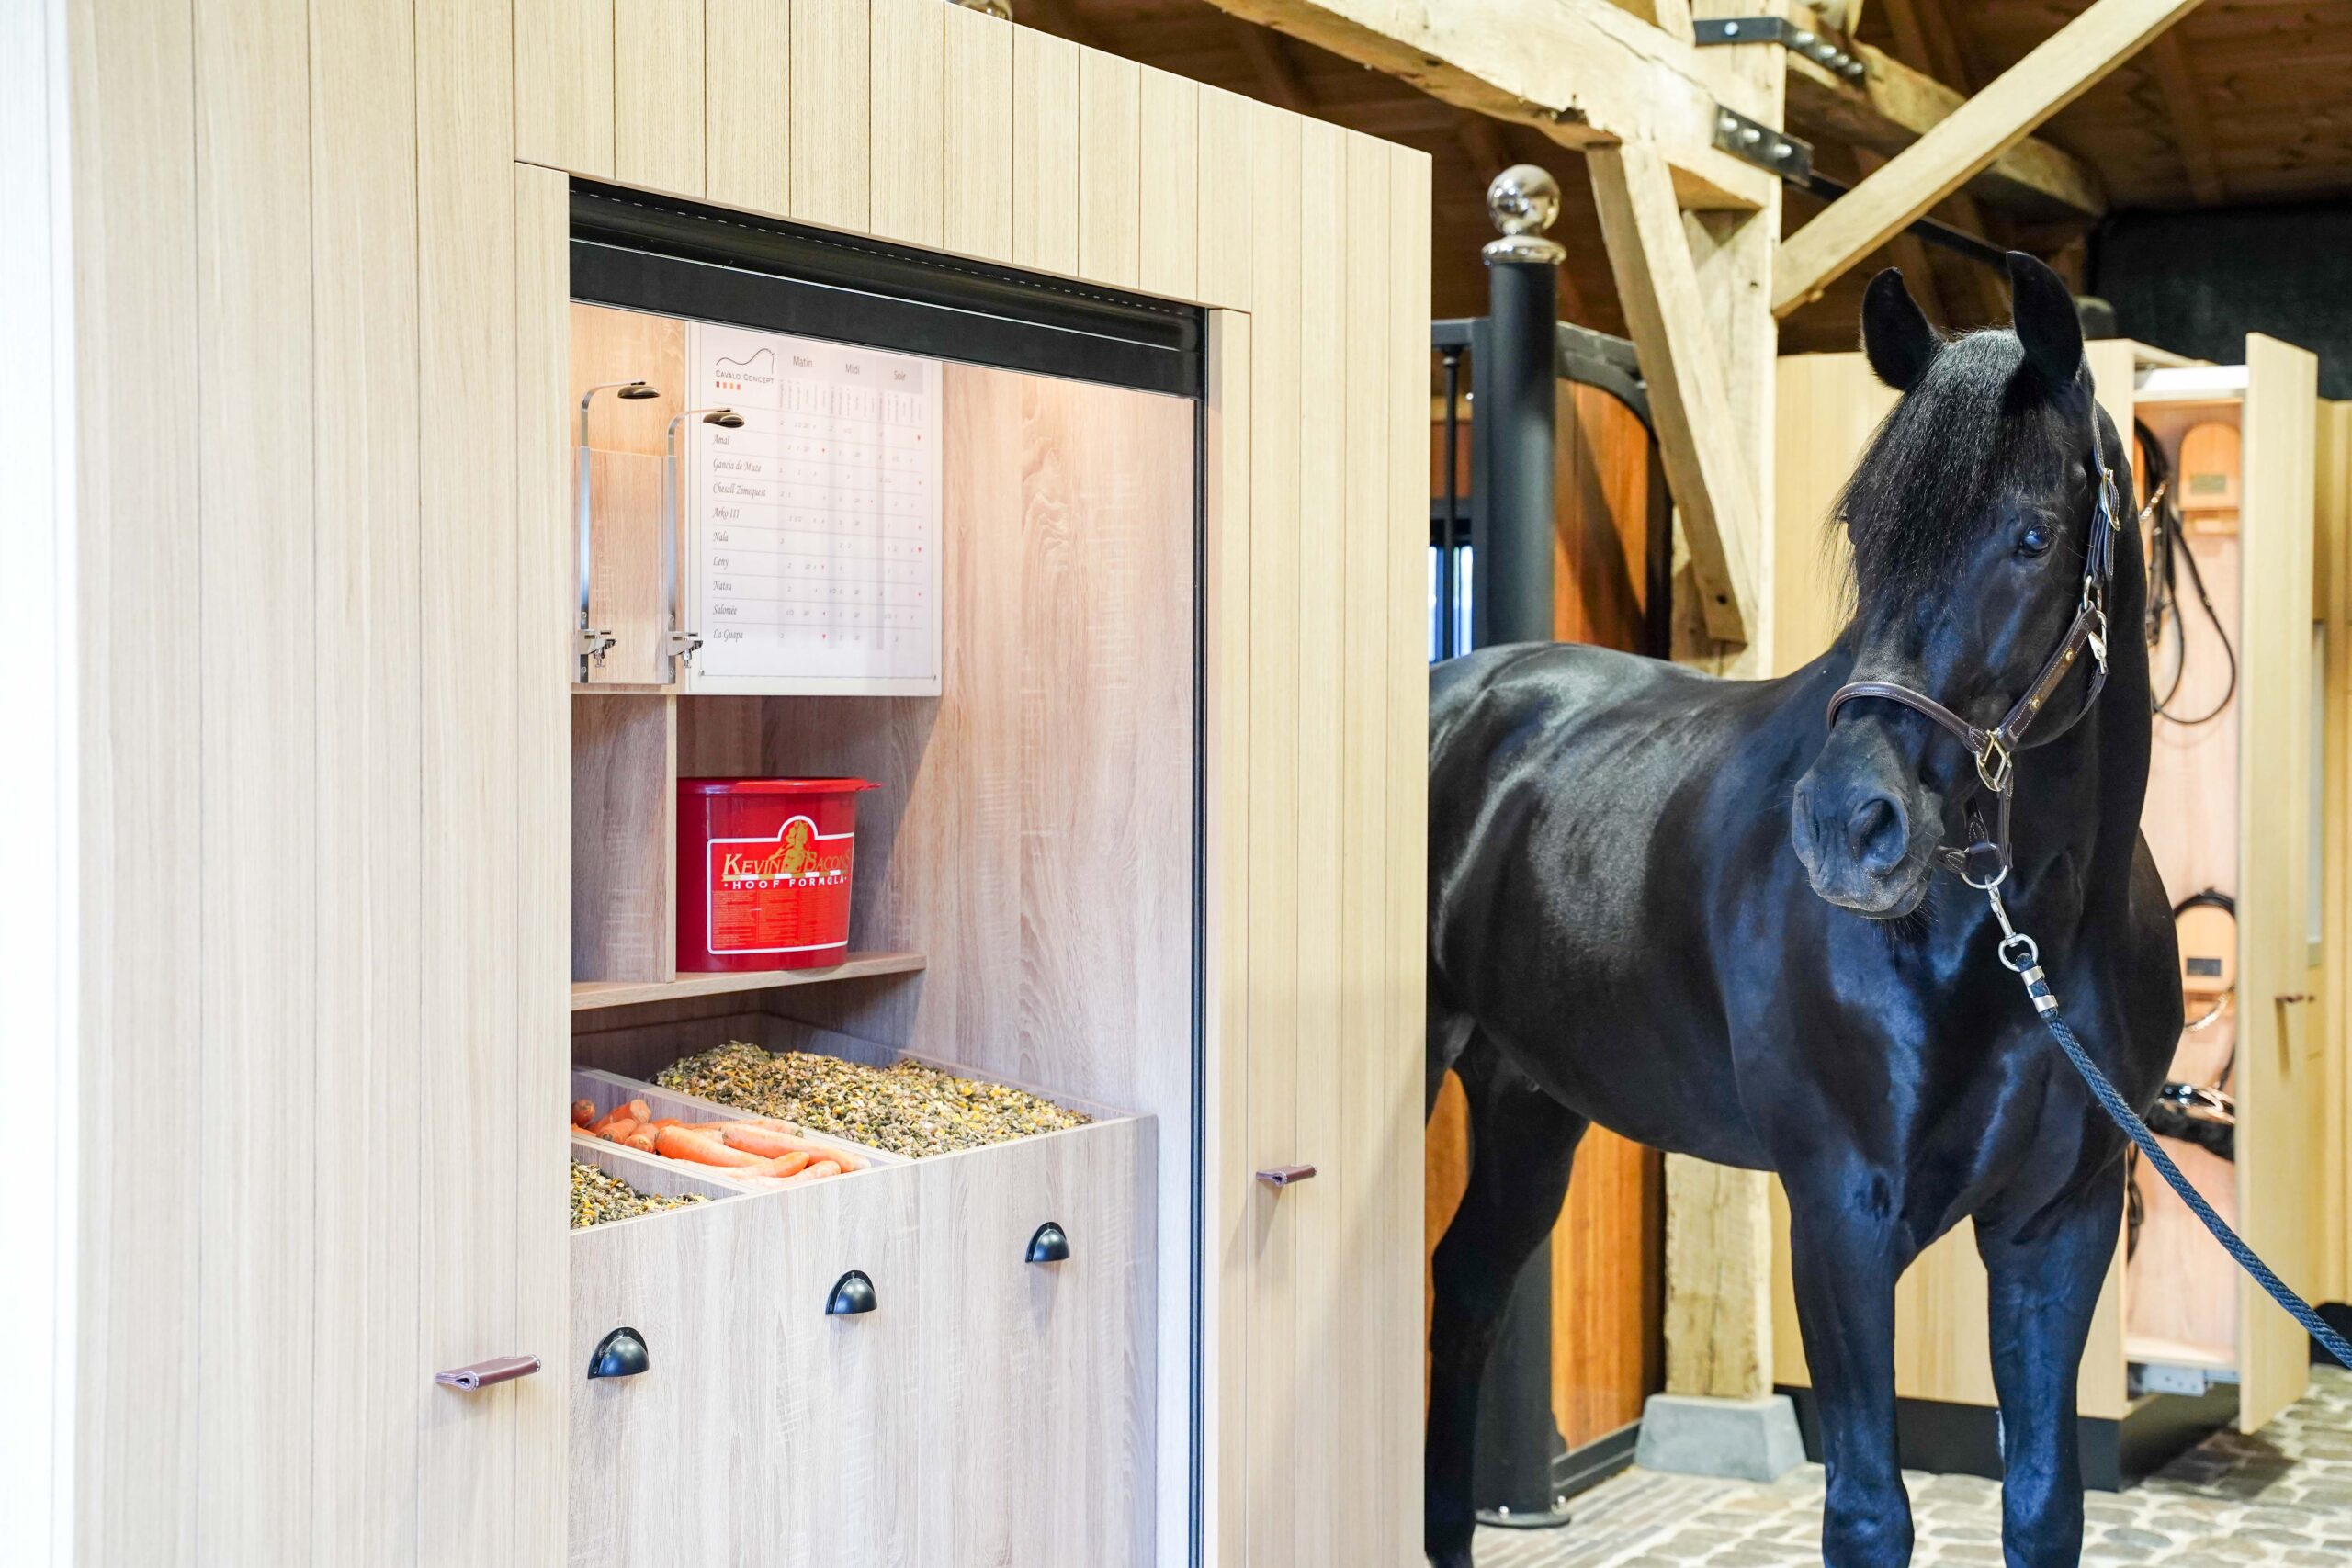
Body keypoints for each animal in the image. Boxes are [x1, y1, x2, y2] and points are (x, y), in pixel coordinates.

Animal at [1423, 251, 2180, 1568]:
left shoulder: (2061, 1220)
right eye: (1864, 535)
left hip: (1529, 1102)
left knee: (1466, 1290)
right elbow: (1868, 1512)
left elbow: (2042, 1501)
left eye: (2031, 536)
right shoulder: (1839, 1212)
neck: (2024, 937)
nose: (1844, 825)